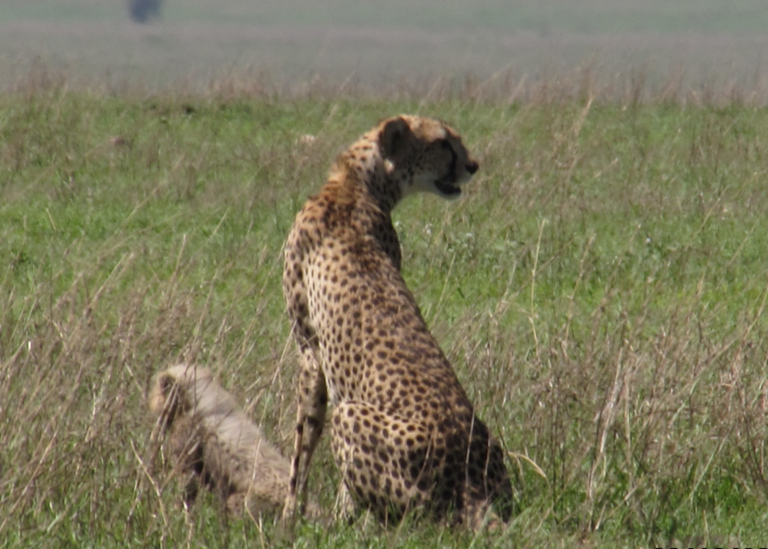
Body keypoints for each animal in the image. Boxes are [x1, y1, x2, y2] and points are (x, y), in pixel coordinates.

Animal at [149, 364, 317, 521]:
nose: (152, 404)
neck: (197, 402)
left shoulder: (187, 451)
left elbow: (187, 486)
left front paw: (175, 514)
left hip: (243, 501)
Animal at [282, 114, 513, 529]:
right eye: (443, 143)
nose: (473, 165)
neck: (356, 184)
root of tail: (471, 488)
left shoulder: (309, 353)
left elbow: (303, 444)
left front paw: (292, 515)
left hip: (352, 418)